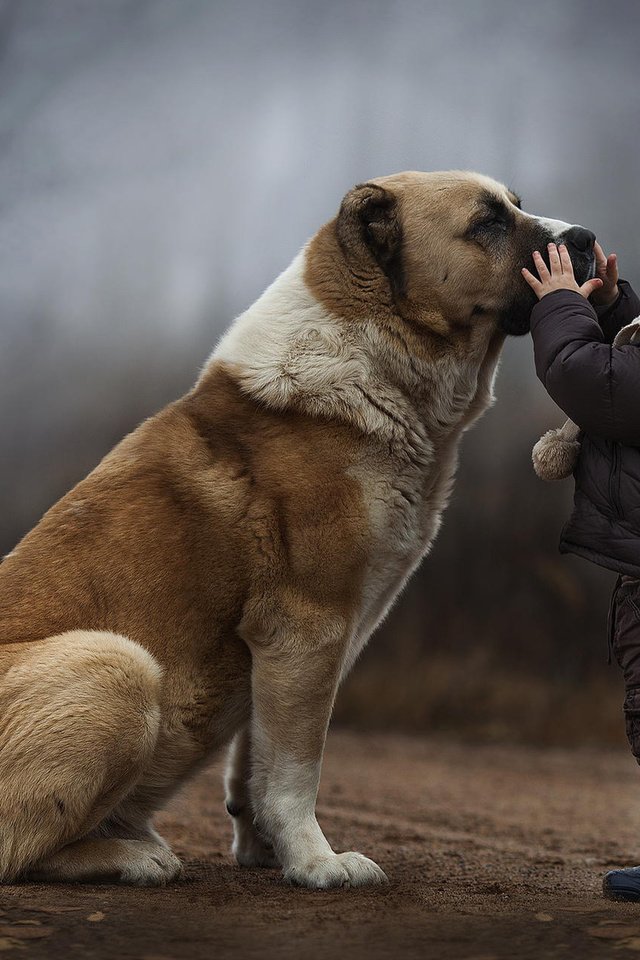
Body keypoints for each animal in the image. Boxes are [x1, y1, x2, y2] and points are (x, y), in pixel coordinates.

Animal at [0, 171, 596, 884]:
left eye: (515, 205)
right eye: (487, 223)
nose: (587, 239)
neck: (374, 356)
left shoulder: (292, 651)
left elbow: (255, 762)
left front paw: (267, 852)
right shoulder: (307, 628)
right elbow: (294, 768)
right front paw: (318, 863)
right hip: (119, 665)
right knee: (17, 849)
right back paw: (135, 856)